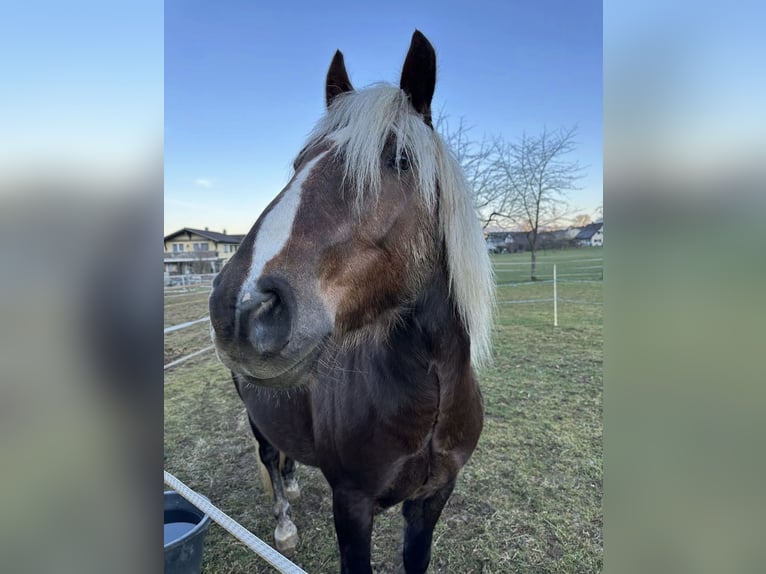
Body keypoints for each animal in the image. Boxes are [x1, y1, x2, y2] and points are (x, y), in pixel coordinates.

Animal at [209, 30, 494, 574]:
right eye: (298, 164)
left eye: (400, 159)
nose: (243, 307)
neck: (430, 396)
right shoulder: (352, 506)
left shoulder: (432, 499)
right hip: (255, 417)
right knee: (269, 457)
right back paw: (284, 522)